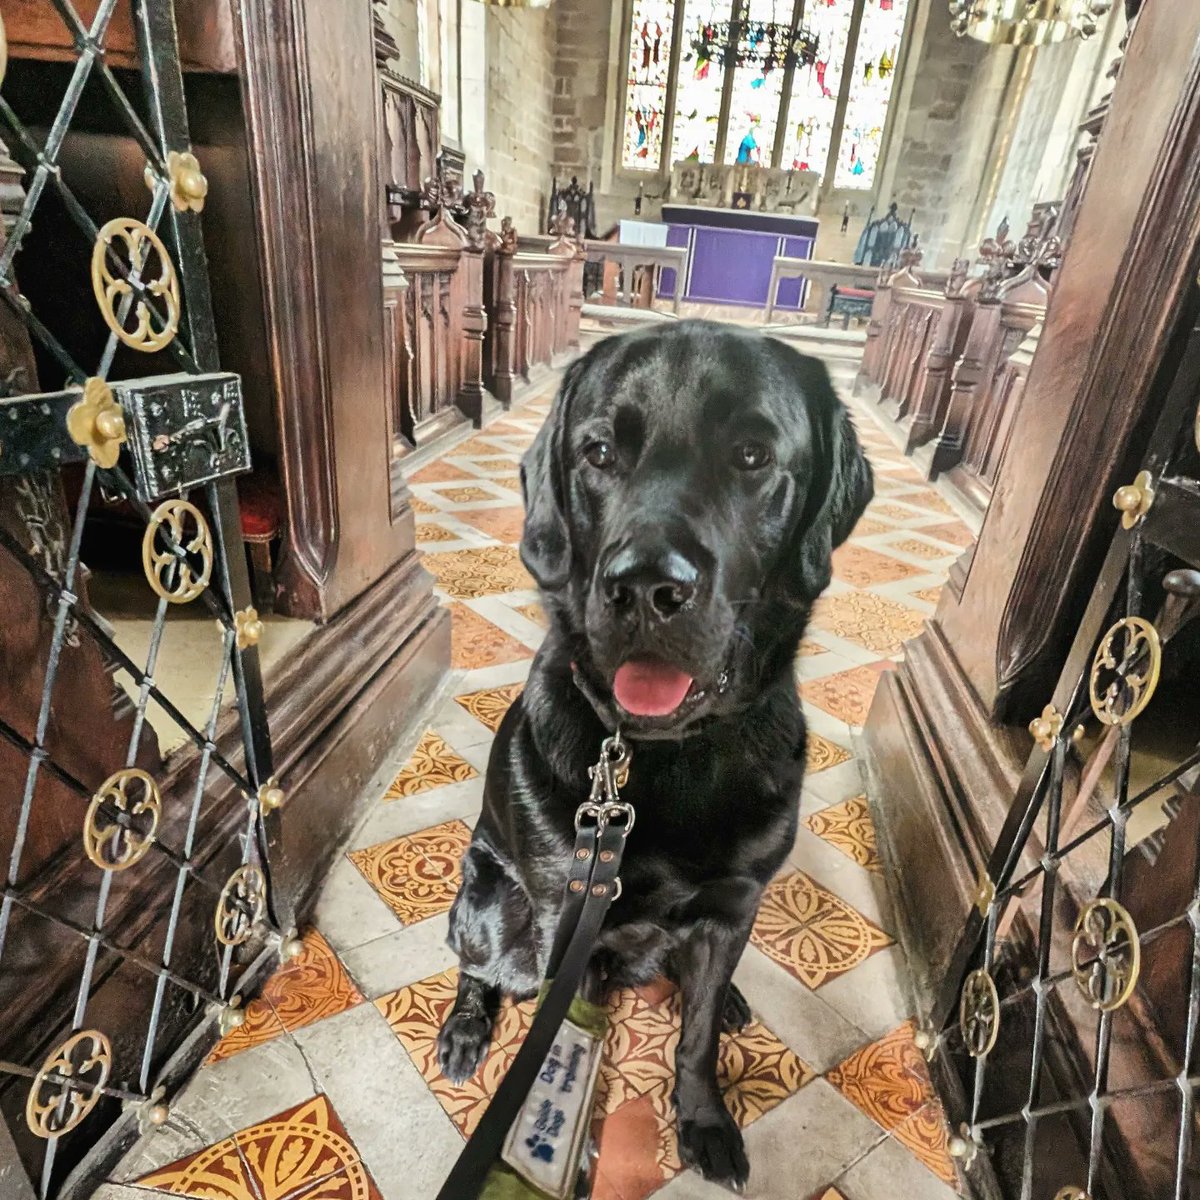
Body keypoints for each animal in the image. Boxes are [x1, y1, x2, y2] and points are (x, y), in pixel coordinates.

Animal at [436, 319, 868, 1190]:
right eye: (599, 452)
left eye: (751, 455)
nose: (643, 587)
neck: (661, 759)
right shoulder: (566, 913)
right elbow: (561, 1028)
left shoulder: (735, 903)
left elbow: (696, 1037)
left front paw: (703, 1117)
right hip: (489, 902)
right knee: (477, 964)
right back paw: (466, 1028)